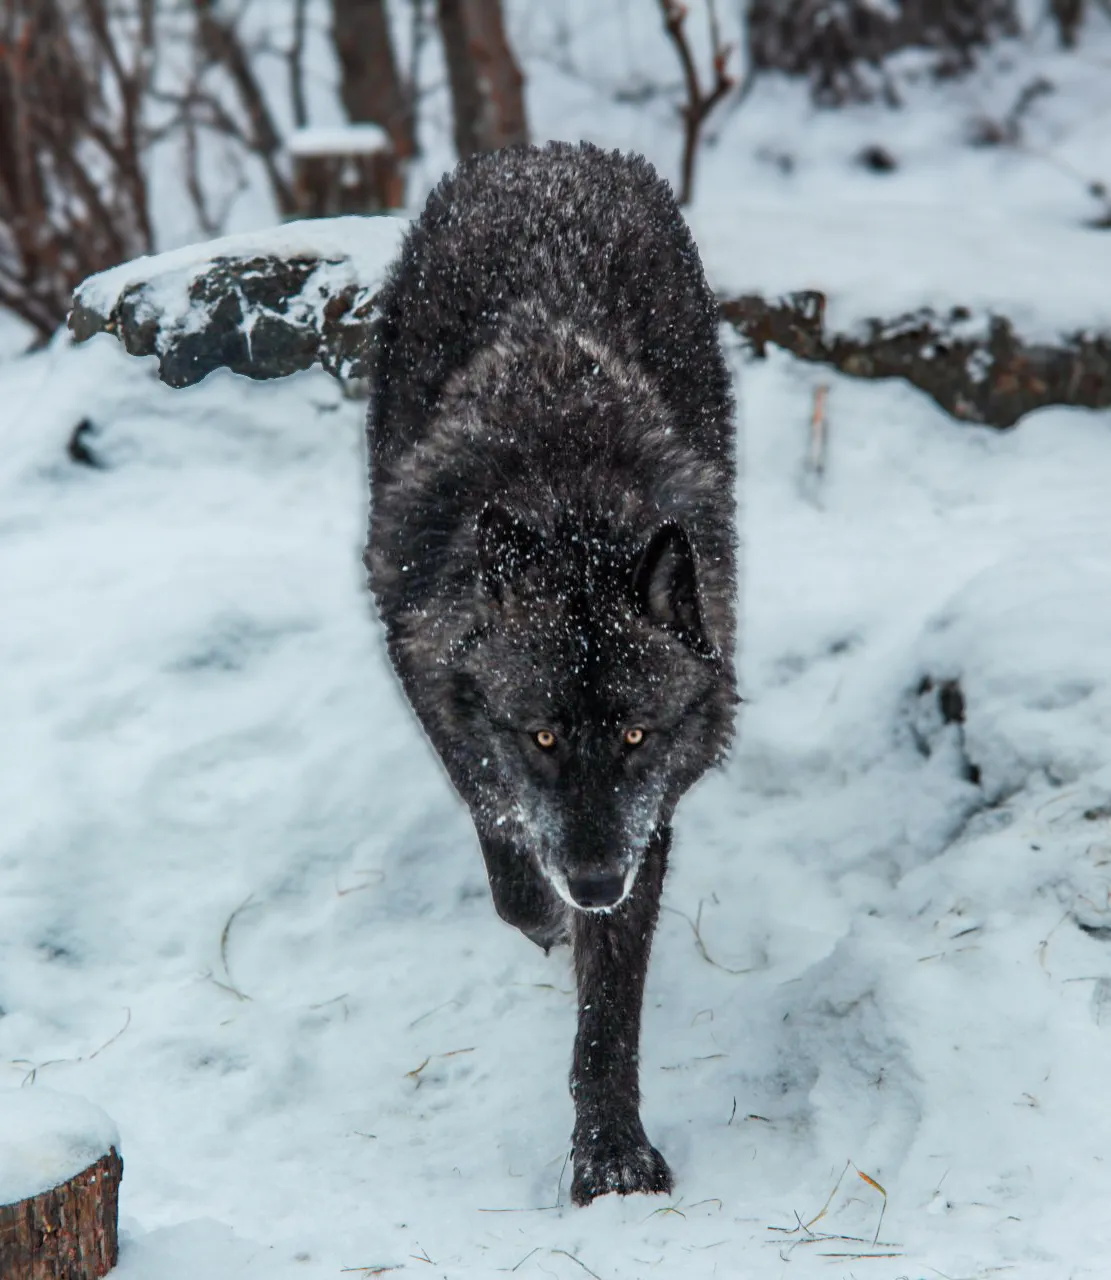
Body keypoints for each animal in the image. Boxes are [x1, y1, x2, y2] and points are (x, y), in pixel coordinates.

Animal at [366, 141, 737, 1205]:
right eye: (539, 734)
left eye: (635, 734)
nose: (594, 881)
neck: (571, 519)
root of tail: (546, 156)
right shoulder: (431, 687)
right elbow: (499, 828)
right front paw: (539, 915)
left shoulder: (648, 814)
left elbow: (608, 1012)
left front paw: (610, 1156)